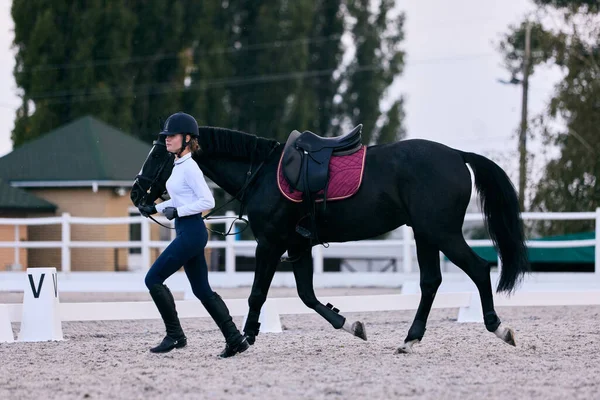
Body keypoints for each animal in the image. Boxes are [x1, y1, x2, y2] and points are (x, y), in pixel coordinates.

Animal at [132, 125, 528, 354]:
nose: (137, 194)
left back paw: (499, 328)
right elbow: (307, 295)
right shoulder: (298, 245)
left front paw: (243, 339)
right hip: (426, 234)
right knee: (431, 281)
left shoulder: (271, 242)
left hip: (440, 232)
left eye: (159, 152)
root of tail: (458, 155)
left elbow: (258, 294)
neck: (260, 172)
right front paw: (350, 325)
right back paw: (410, 339)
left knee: (478, 268)